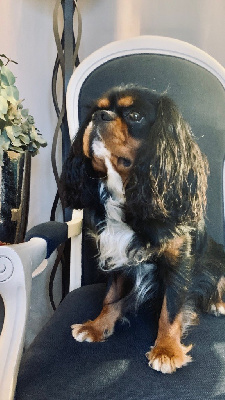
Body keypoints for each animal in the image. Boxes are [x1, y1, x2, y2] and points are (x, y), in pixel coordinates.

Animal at [60, 85, 225, 376]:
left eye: (135, 116)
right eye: (96, 110)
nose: (100, 117)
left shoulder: (179, 261)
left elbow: (171, 309)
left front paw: (166, 350)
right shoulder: (116, 254)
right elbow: (111, 296)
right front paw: (97, 326)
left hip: (218, 255)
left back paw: (217, 303)